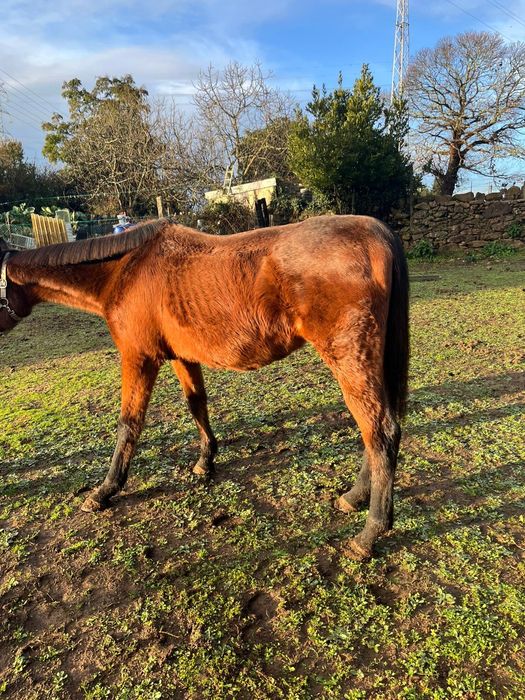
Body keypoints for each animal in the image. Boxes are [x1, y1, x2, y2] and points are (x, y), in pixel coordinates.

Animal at [0, 215, 409, 560]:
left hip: (349, 359)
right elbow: (196, 403)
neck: (125, 270)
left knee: (380, 432)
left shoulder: (139, 358)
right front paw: (205, 460)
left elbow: (128, 424)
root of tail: (376, 233)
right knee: (377, 430)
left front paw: (106, 490)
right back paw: (355, 496)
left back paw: (370, 533)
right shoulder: (182, 356)